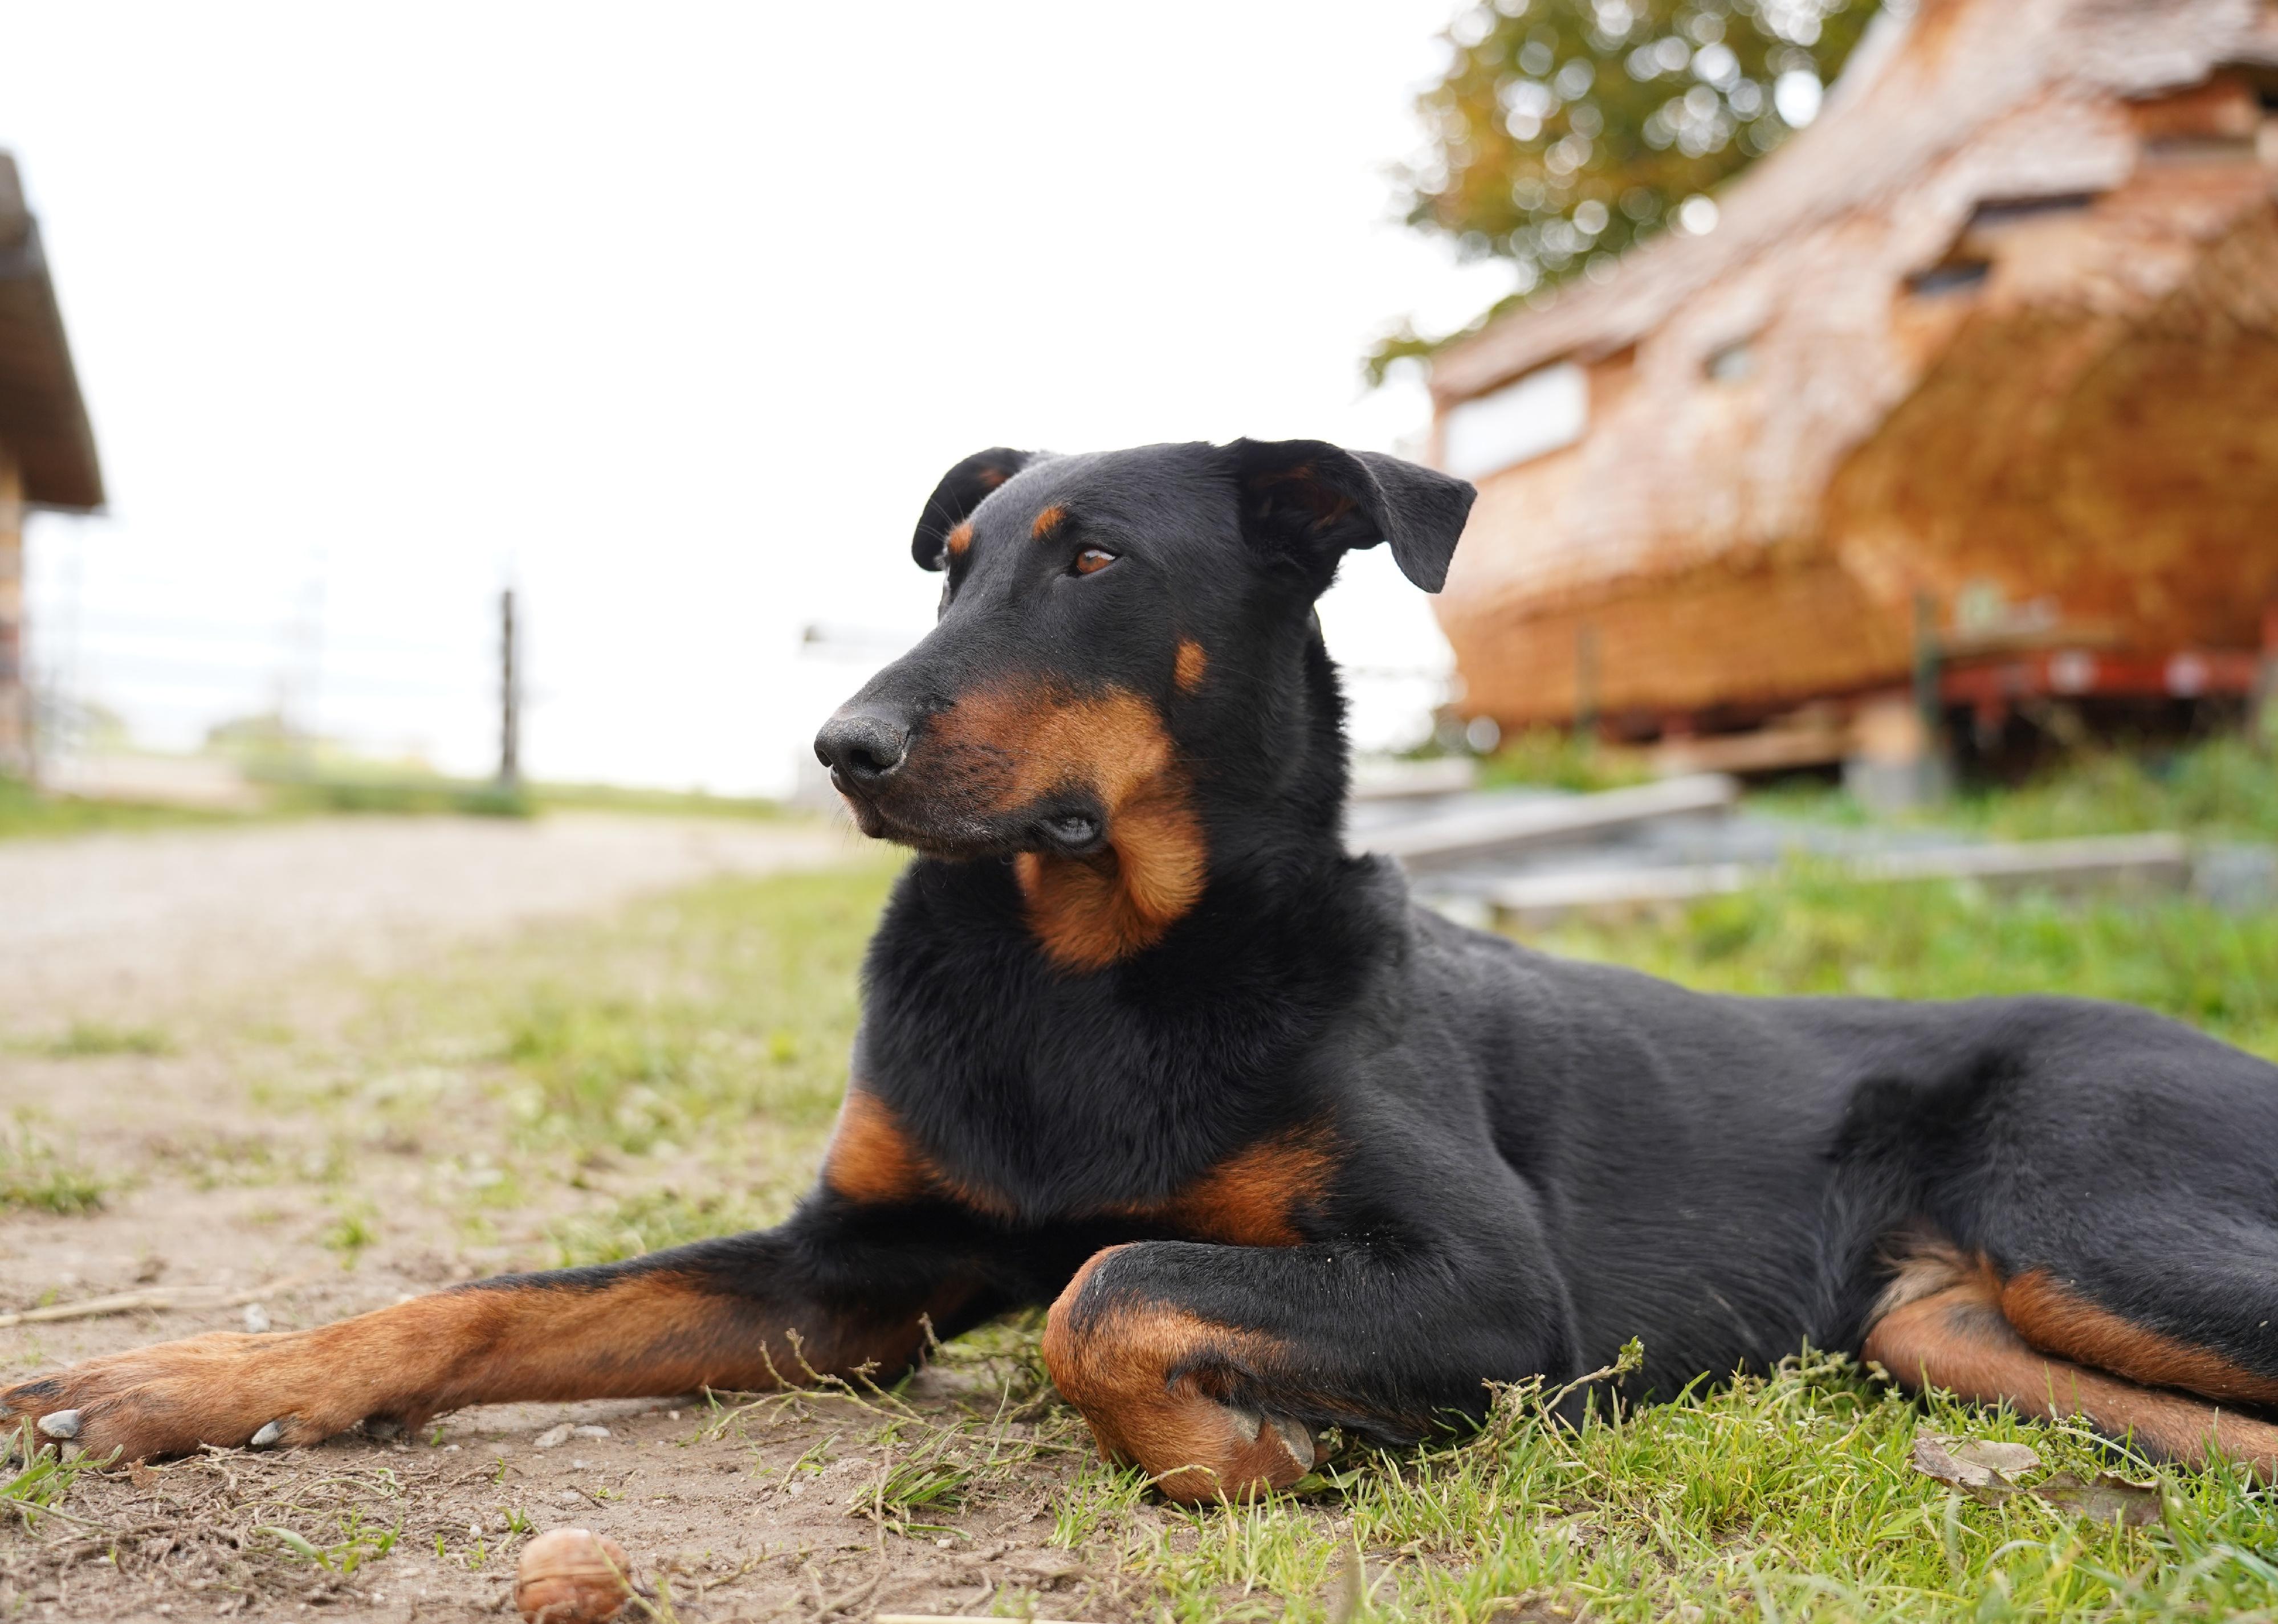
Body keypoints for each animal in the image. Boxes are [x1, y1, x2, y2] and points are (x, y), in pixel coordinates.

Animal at [13, 439, 2278, 1494]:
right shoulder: (843, 1271)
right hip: (1956, 1331)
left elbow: (1099, 1290)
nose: (841, 749)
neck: (1087, 962)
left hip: (2091, 1213)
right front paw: (184, 1380)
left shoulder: (1491, 1286)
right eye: (952, 563)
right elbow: (479, 1303)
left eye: (1094, 561)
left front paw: (1261, 1447)